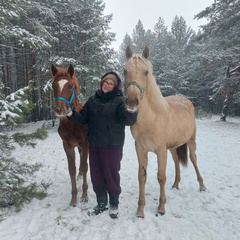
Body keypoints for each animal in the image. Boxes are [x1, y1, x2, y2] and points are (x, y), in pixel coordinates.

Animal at [50, 63, 88, 206]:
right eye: (53, 85)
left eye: (70, 86)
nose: (59, 109)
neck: (73, 123)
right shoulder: (67, 145)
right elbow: (71, 169)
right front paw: (74, 198)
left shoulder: (86, 144)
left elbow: (85, 166)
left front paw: (85, 195)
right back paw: (80, 176)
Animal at [124, 45, 206, 218]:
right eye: (125, 71)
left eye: (146, 72)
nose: (132, 102)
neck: (151, 119)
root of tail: (186, 101)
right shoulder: (140, 149)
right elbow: (142, 177)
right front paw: (140, 210)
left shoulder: (161, 150)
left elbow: (161, 177)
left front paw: (161, 207)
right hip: (173, 146)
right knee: (176, 161)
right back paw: (176, 184)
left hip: (191, 141)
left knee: (194, 159)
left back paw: (202, 185)